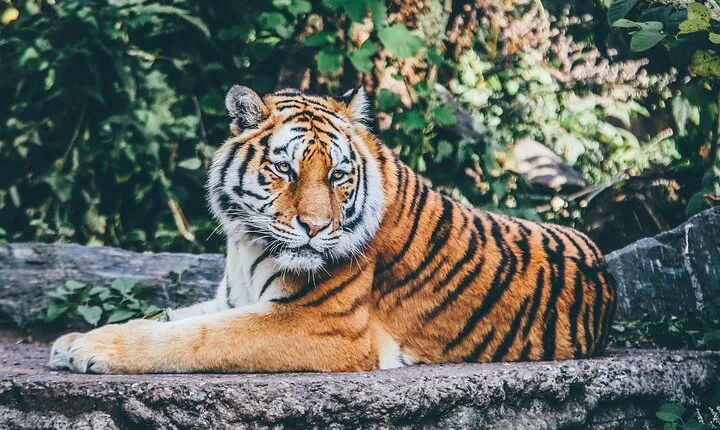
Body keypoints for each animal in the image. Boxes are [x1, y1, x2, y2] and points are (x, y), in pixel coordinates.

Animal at [48, 86, 616, 373]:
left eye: (339, 176)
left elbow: (194, 338)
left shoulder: (320, 325)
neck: (245, 243)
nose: (317, 227)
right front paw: (73, 340)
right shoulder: (232, 298)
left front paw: (91, 350)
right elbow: (169, 317)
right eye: (285, 170)